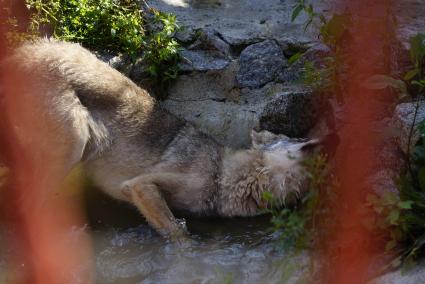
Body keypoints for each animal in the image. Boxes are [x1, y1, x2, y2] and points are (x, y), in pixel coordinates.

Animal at [0, 40, 324, 240]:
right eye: (298, 137)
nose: (325, 137)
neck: (223, 174)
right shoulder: (139, 185)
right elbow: (178, 234)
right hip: (74, 144)